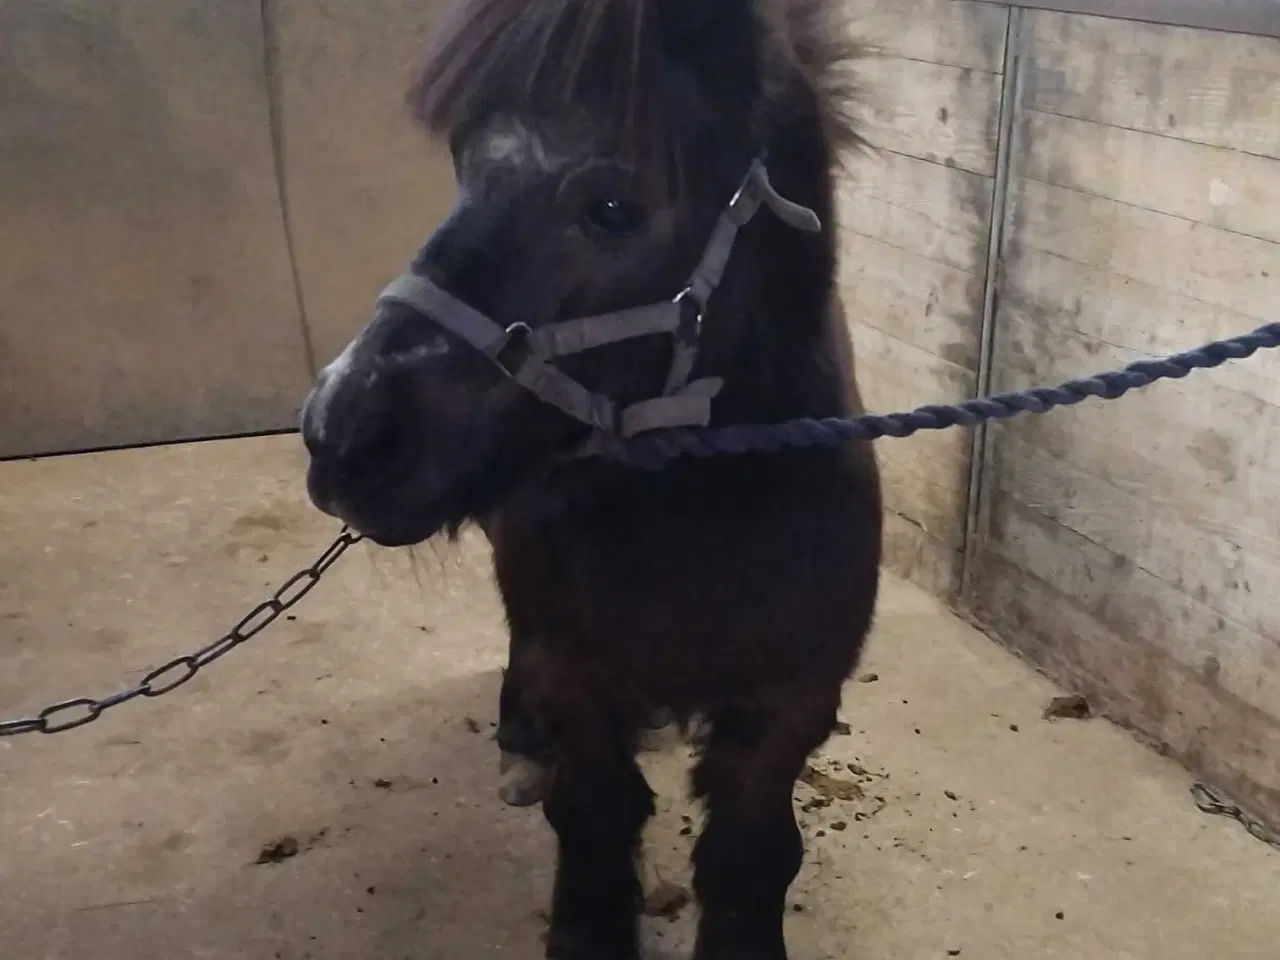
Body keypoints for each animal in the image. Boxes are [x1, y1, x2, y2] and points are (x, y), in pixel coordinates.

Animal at [299, 1, 883, 957]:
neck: (702, 523)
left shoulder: (790, 700)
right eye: (463, 162)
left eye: (612, 207)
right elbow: (596, 816)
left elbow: (749, 854)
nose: (341, 433)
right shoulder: (574, 670)